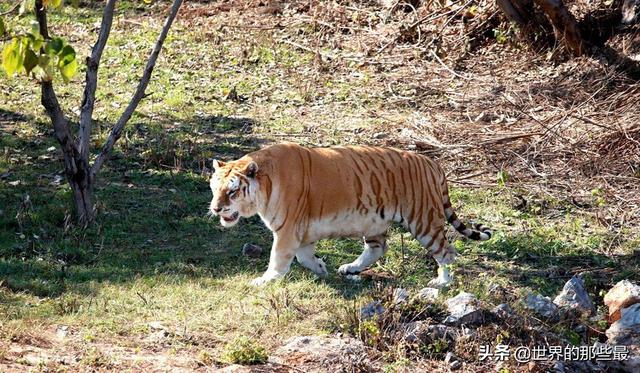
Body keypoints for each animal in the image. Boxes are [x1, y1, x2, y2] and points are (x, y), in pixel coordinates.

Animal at [208, 142, 492, 284]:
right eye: (214, 187)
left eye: (232, 191)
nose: (215, 208)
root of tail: (433, 163)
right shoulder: (301, 229)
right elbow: (303, 256)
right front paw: (321, 268)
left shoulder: (288, 228)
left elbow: (278, 258)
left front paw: (266, 280)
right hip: (376, 222)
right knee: (378, 248)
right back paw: (351, 268)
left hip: (423, 220)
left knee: (446, 251)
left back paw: (442, 282)